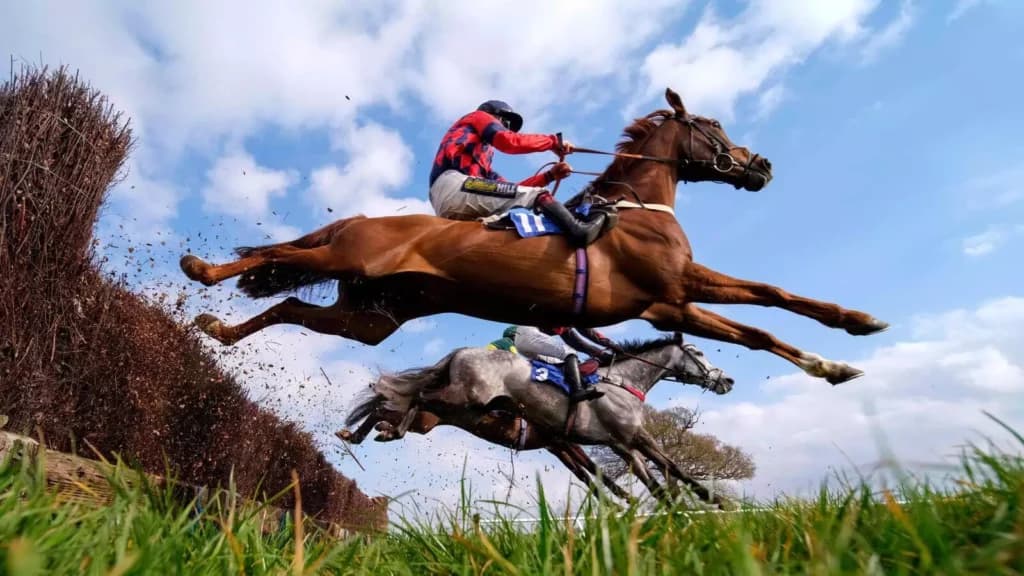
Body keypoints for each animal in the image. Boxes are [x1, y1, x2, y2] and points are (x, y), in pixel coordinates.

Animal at [180, 87, 887, 385]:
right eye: (712, 126)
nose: (761, 165)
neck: (634, 208)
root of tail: (366, 222)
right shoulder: (670, 298)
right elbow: (758, 328)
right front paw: (830, 364)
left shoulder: (685, 284)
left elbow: (773, 294)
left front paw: (854, 328)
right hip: (357, 255)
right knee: (278, 253)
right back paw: (199, 272)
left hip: (370, 314)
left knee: (289, 303)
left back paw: (219, 330)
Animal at [340, 333, 735, 506]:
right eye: (698, 352)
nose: (727, 380)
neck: (622, 382)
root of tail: (459, 352)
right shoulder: (631, 436)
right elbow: (671, 468)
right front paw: (716, 502)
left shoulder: (614, 442)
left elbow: (637, 479)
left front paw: (664, 510)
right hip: (456, 400)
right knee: (413, 397)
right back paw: (386, 430)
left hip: (455, 406)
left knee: (392, 401)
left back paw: (362, 433)